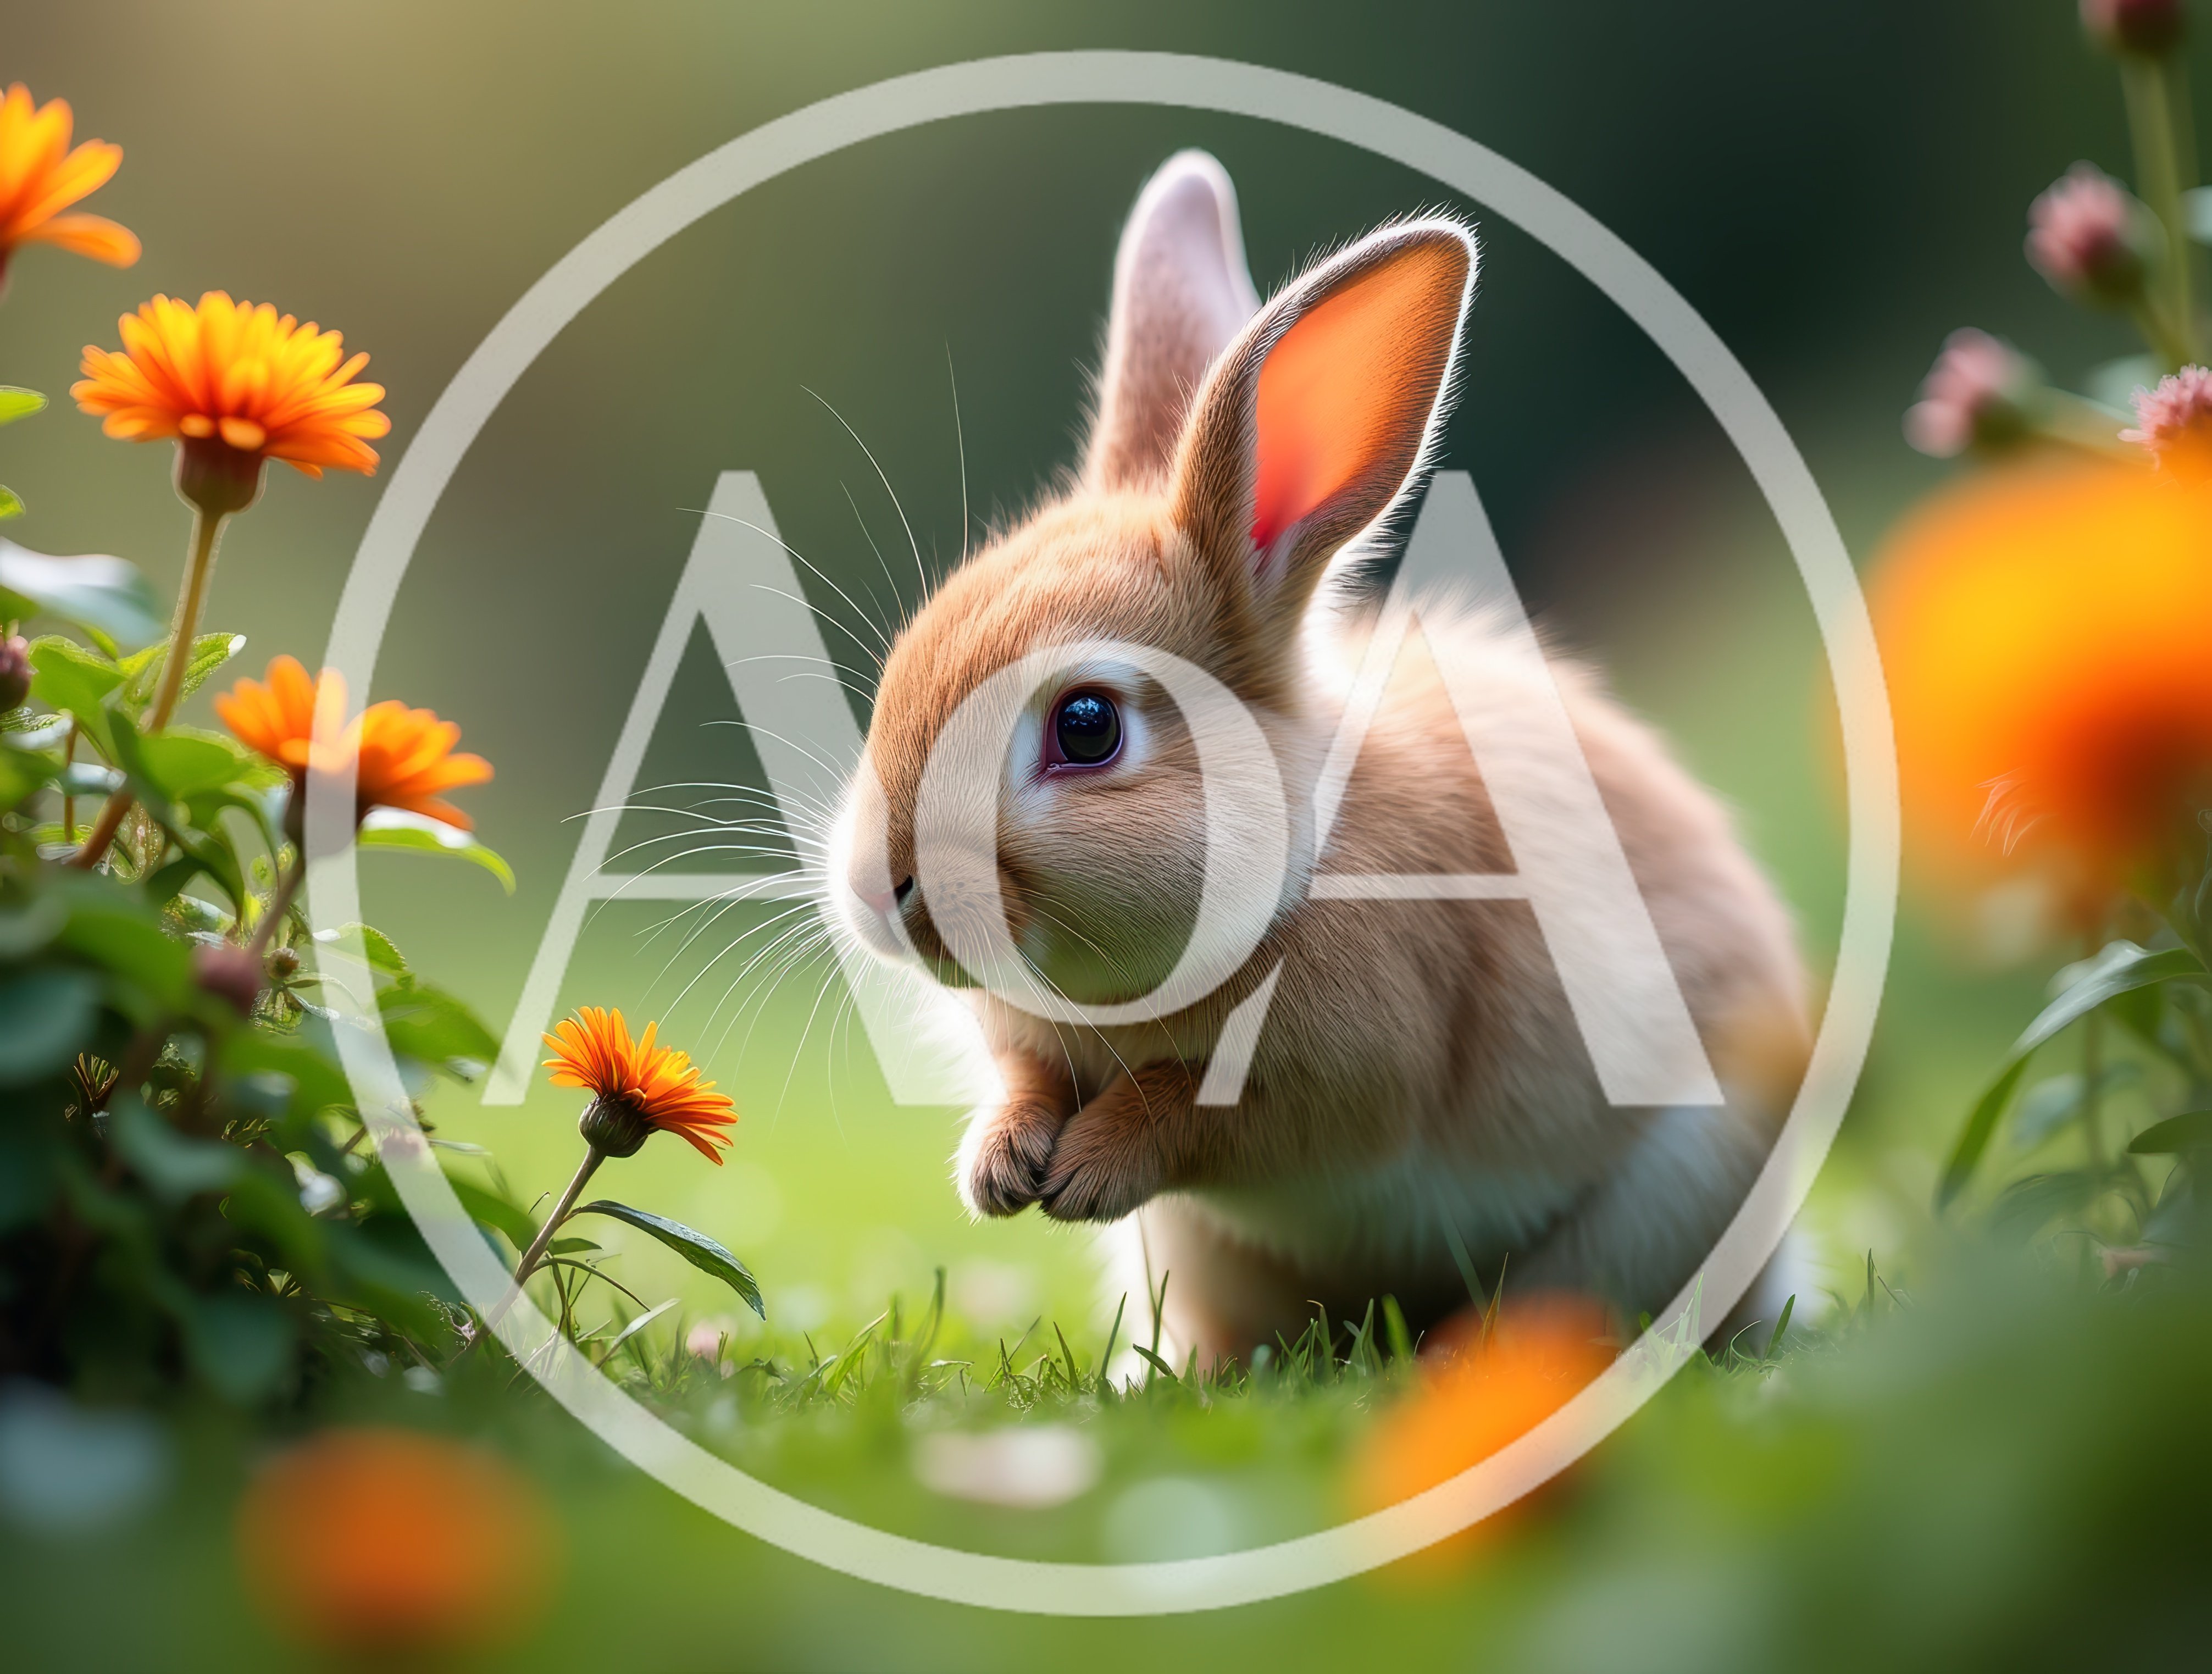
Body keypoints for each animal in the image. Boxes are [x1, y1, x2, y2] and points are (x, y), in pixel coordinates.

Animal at [830, 150, 1810, 1365]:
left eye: (1087, 727)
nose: (877, 890)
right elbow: (1027, 1080)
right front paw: (1002, 1168)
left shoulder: (1339, 1075)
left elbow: (1200, 1115)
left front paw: (1087, 1169)